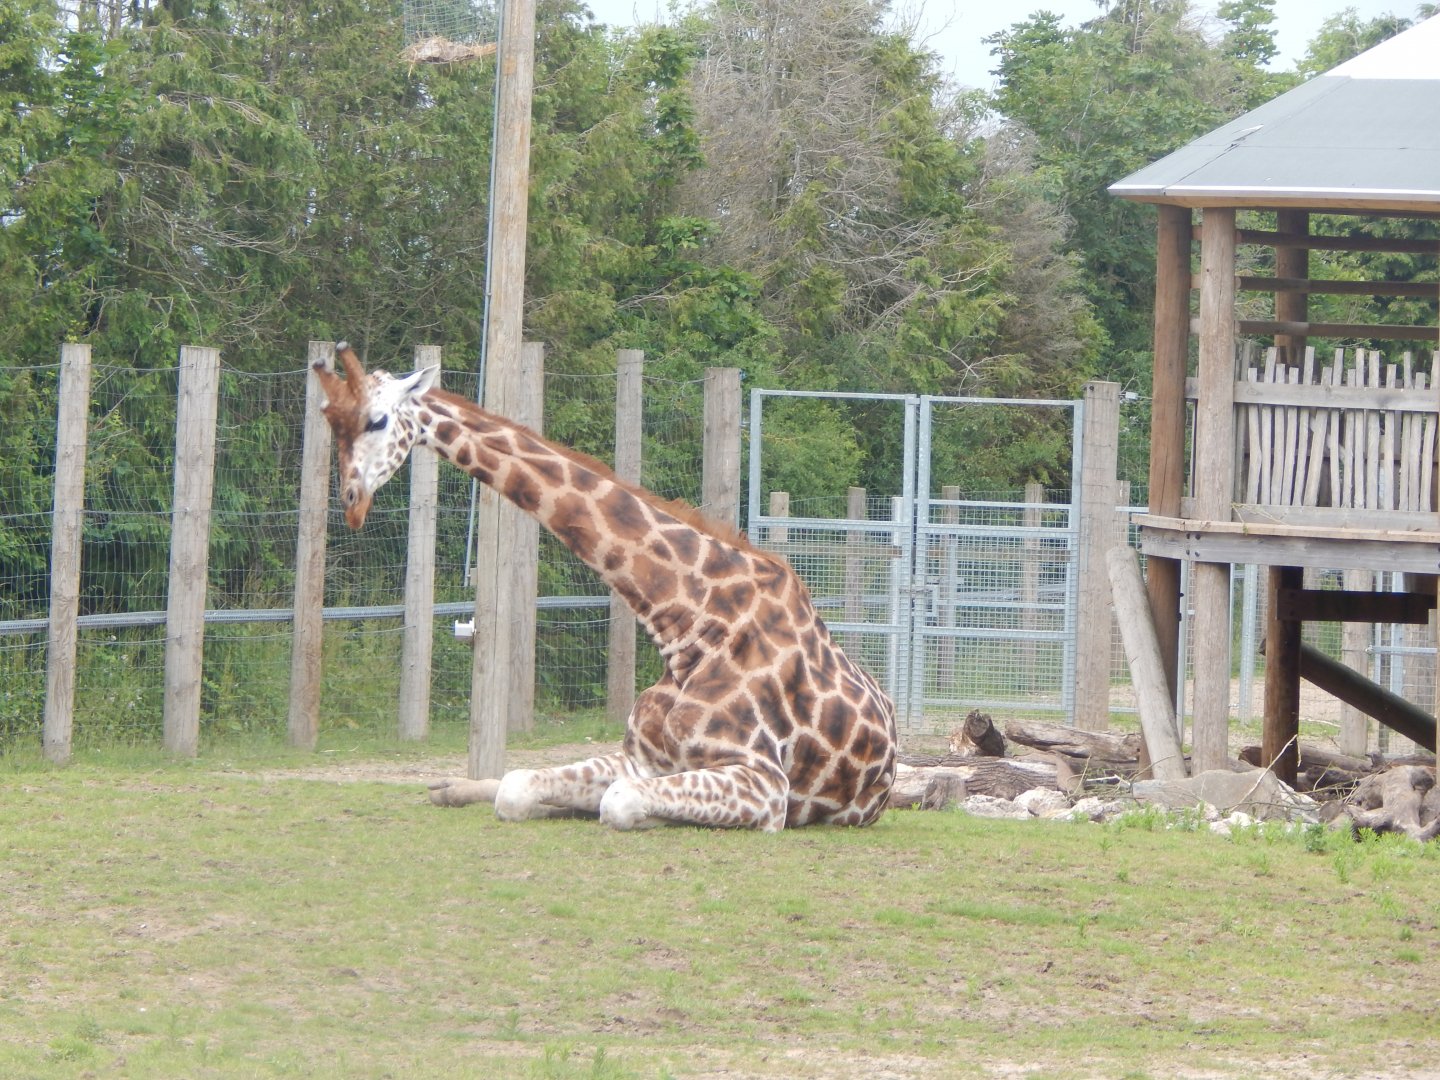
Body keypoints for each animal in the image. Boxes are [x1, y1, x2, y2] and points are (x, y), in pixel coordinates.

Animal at [313, 343, 897, 831]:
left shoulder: (765, 783)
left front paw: (652, 816)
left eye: (377, 419)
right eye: (329, 420)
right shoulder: (640, 757)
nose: (352, 502)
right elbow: (517, 787)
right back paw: (448, 788)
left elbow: (619, 801)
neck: (691, 627)